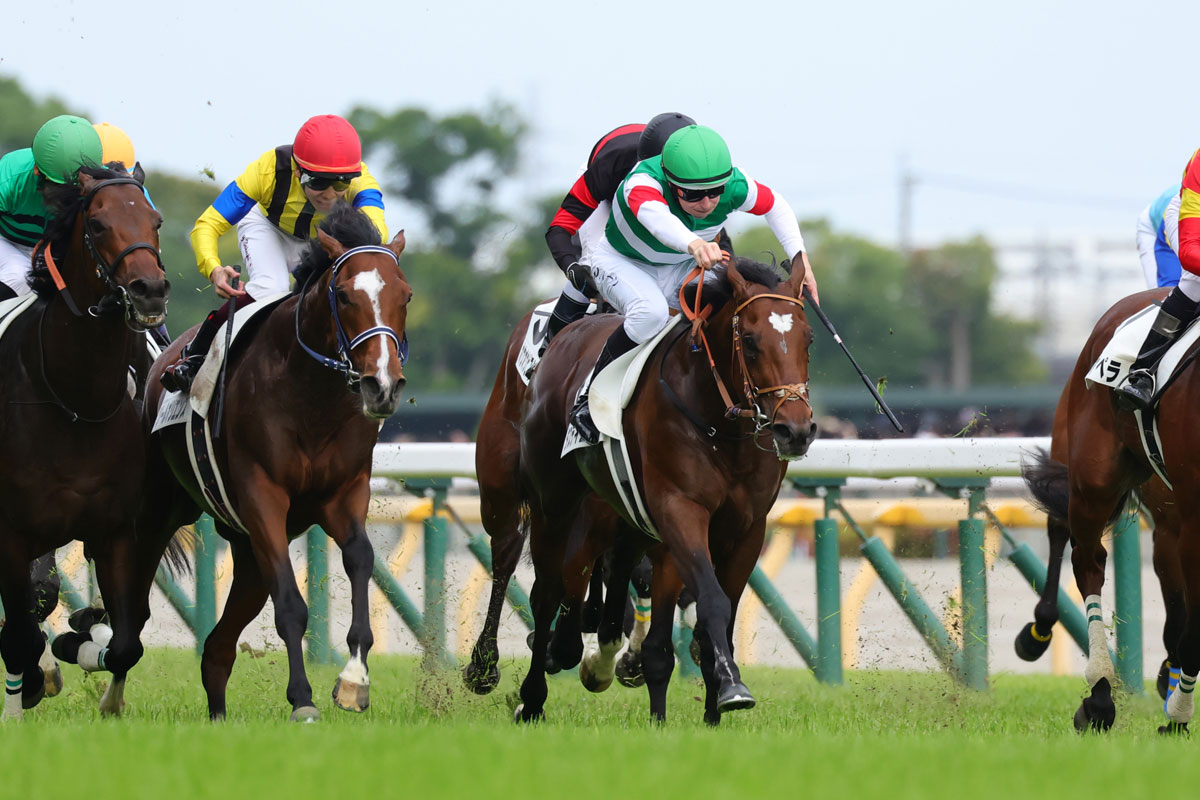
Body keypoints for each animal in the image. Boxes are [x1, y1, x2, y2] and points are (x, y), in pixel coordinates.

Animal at [0, 166, 173, 720]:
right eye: (97, 225)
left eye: (155, 220)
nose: (149, 289)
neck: (75, 400)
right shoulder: (10, 533)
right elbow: (22, 628)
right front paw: (23, 695)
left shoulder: (115, 530)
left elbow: (125, 642)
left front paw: (79, 642)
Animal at [133, 204, 409, 721]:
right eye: (345, 295)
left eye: (406, 295)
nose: (381, 386)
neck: (311, 397)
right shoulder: (263, 496)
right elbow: (291, 605)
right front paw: (302, 699)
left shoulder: (343, 493)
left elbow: (361, 558)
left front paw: (353, 681)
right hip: (166, 509)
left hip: (244, 548)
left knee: (217, 648)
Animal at [516, 257, 816, 724]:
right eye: (749, 342)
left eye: (808, 339)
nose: (795, 431)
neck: (721, 426)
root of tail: (567, 335)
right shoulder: (680, 510)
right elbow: (711, 600)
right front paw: (731, 690)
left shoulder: (747, 529)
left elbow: (716, 619)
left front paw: (715, 708)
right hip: (555, 505)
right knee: (548, 592)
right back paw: (533, 697)